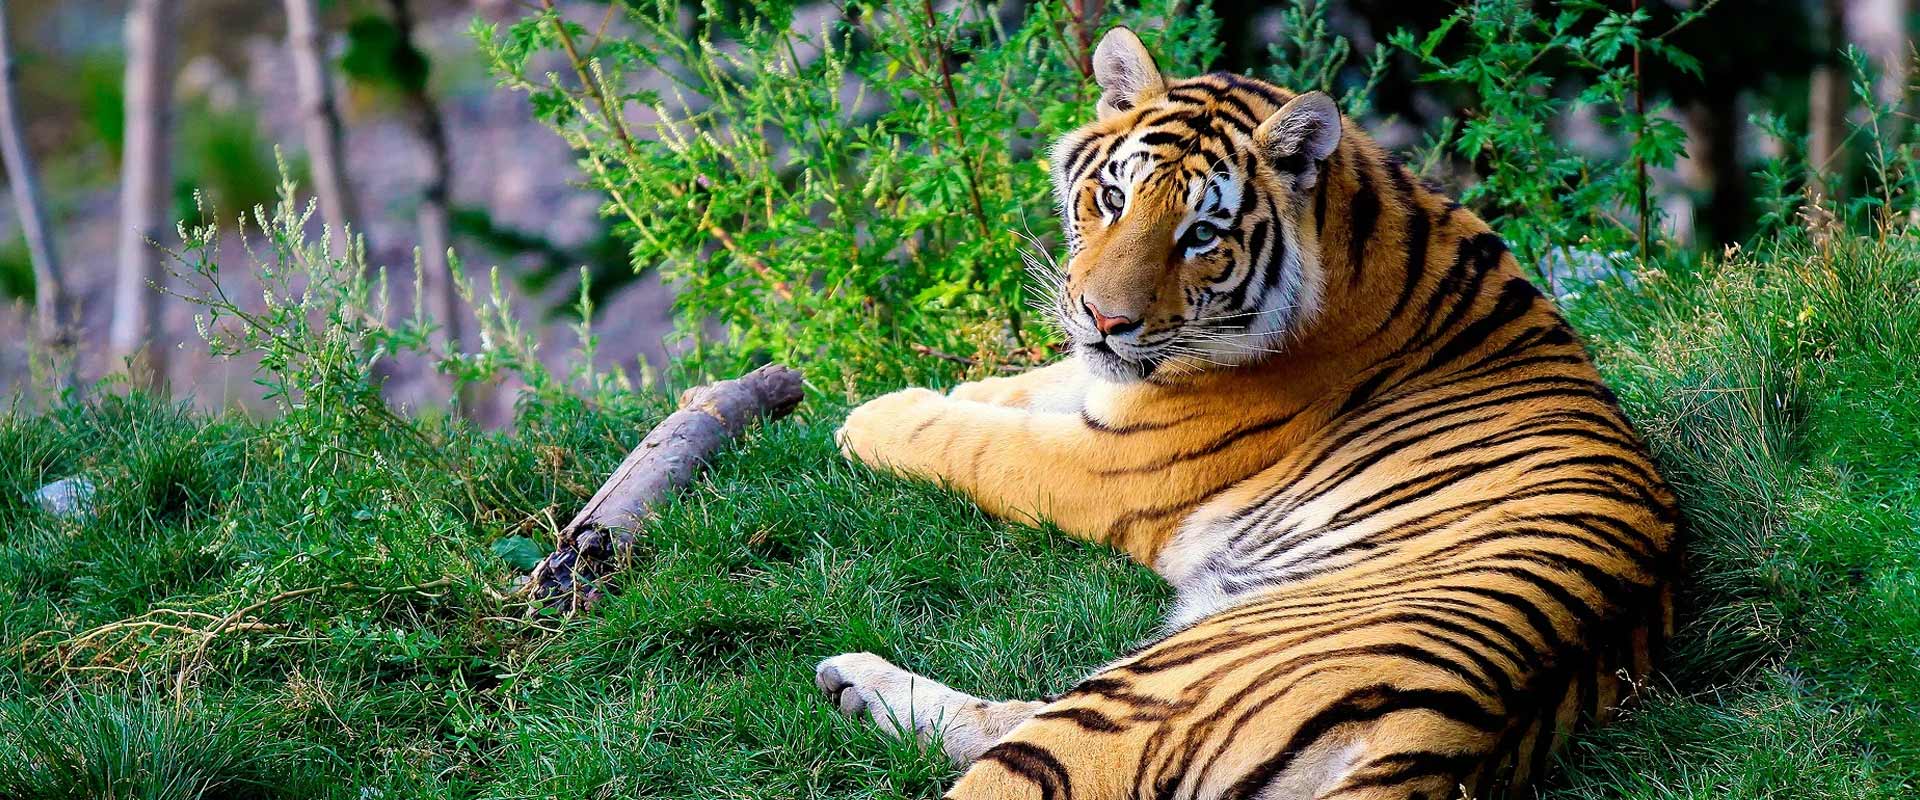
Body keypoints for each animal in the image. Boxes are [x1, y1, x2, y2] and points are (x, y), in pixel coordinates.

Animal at [818, 26, 1679, 800]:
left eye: (1202, 234)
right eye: (1112, 197)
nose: (1104, 318)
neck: (1357, 228)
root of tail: (1446, 740)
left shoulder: (1109, 463)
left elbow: (976, 443)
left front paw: (871, 419)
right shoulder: (1113, 388)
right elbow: (1030, 388)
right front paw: (957, 391)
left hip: (1141, 697)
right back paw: (852, 683)